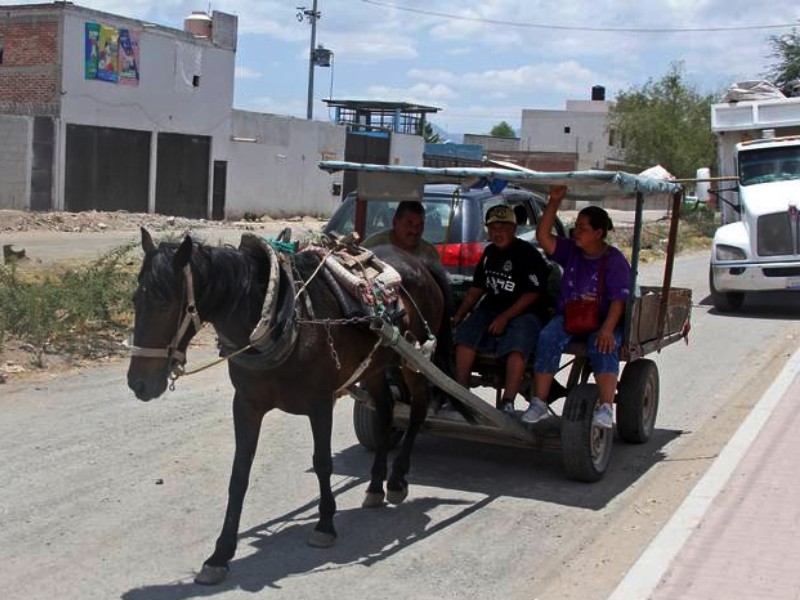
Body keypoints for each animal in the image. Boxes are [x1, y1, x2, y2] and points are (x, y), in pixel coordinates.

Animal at [122, 227, 454, 584]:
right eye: (135, 300)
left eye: (164, 303)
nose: (138, 383)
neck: (279, 317)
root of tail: (419, 262)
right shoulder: (247, 405)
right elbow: (239, 475)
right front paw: (220, 555)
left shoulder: (320, 403)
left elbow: (323, 463)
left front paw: (325, 525)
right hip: (376, 366)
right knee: (385, 413)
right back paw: (376, 487)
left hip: (413, 361)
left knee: (417, 410)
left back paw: (396, 480)